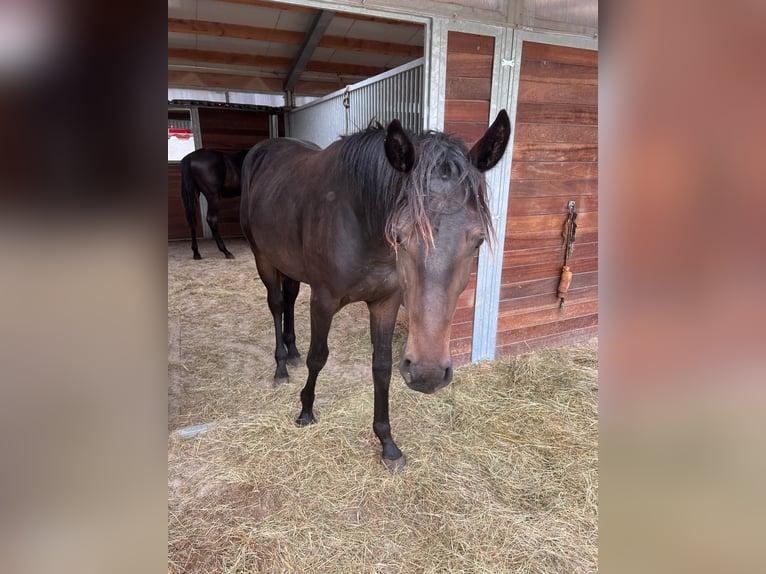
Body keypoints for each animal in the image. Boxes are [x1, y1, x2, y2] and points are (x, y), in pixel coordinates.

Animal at [240, 111, 511, 471]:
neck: (359, 221)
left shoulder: (385, 302)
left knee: (289, 298)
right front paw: (306, 410)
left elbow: (381, 367)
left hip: (290, 264)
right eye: (399, 236)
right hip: (264, 258)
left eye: (478, 240)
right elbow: (318, 357)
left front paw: (387, 443)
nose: (427, 373)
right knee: (276, 304)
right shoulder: (323, 300)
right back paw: (282, 367)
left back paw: (291, 352)